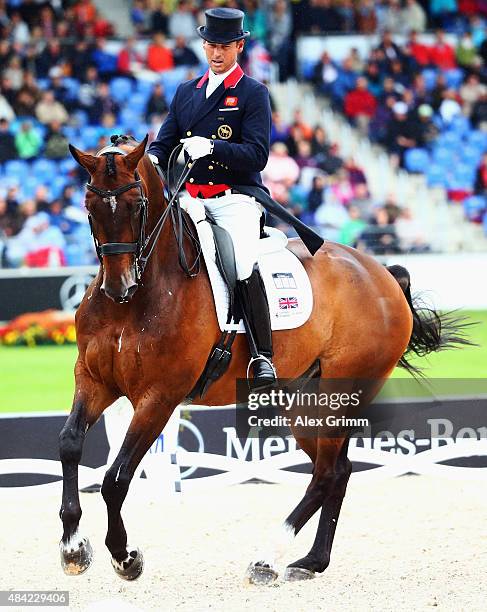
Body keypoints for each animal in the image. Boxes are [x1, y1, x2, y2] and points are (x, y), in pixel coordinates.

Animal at [58, 135, 472, 584]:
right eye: (89, 206)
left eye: (136, 205)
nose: (120, 287)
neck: (142, 296)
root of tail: (379, 271)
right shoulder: (93, 380)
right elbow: (69, 445)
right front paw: (73, 548)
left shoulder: (159, 397)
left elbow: (116, 478)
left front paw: (124, 556)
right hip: (303, 401)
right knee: (337, 469)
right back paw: (311, 561)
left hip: (342, 391)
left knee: (327, 473)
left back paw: (268, 558)